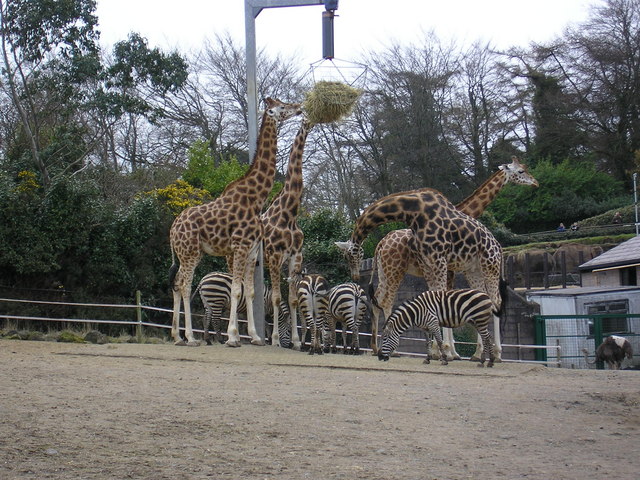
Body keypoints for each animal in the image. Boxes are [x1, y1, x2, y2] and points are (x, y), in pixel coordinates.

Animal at [169, 96, 302, 344]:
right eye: (281, 107)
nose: (299, 108)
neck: (256, 198)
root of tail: (172, 230)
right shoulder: (240, 246)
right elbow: (236, 290)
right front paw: (232, 337)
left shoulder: (251, 251)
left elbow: (249, 291)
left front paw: (255, 336)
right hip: (189, 252)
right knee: (184, 285)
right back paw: (190, 337)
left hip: (190, 253)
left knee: (176, 283)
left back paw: (177, 336)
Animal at [336, 187, 504, 356]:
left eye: (348, 255)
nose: (355, 275)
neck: (413, 211)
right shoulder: (431, 264)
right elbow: (437, 300)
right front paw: (443, 349)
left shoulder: (440, 262)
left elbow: (441, 299)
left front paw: (443, 350)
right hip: (471, 270)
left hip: (488, 265)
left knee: (494, 300)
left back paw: (492, 353)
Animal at [368, 158, 536, 360]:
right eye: (520, 171)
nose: (535, 182)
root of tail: (380, 244)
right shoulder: (450, 270)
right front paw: (447, 350)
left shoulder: (450, 271)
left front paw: (448, 350)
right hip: (395, 271)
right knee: (387, 301)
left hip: (384, 272)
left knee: (376, 300)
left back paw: (375, 348)